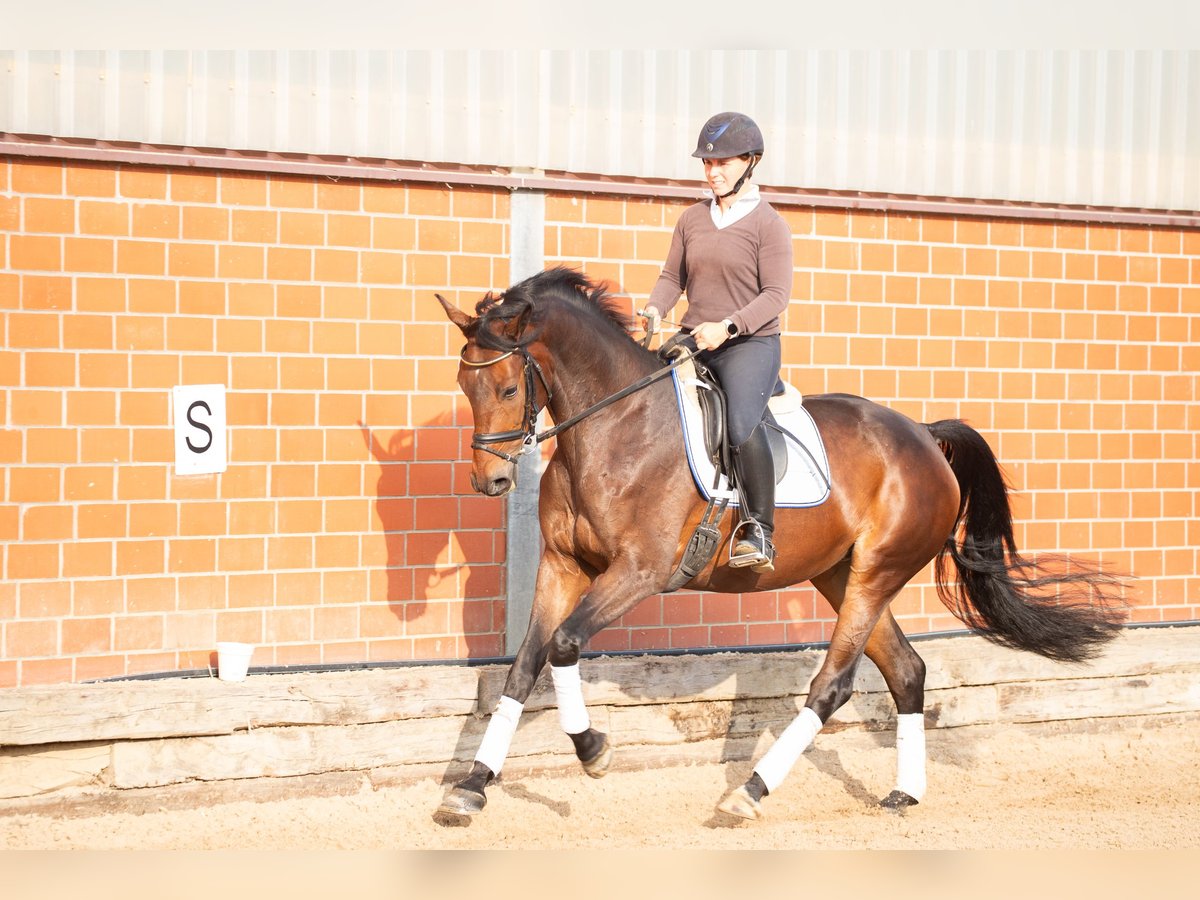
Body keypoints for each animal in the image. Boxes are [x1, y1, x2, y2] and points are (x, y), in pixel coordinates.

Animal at [436, 267, 1128, 825]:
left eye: (508, 389)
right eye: (466, 387)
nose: (488, 481)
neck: (614, 428)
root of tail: (924, 435)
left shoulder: (640, 572)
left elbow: (563, 644)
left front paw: (594, 751)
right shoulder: (562, 567)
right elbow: (524, 666)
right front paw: (471, 788)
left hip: (877, 572)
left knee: (834, 685)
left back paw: (749, 791)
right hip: (840, 575)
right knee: (907, 671)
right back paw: (904, 793)